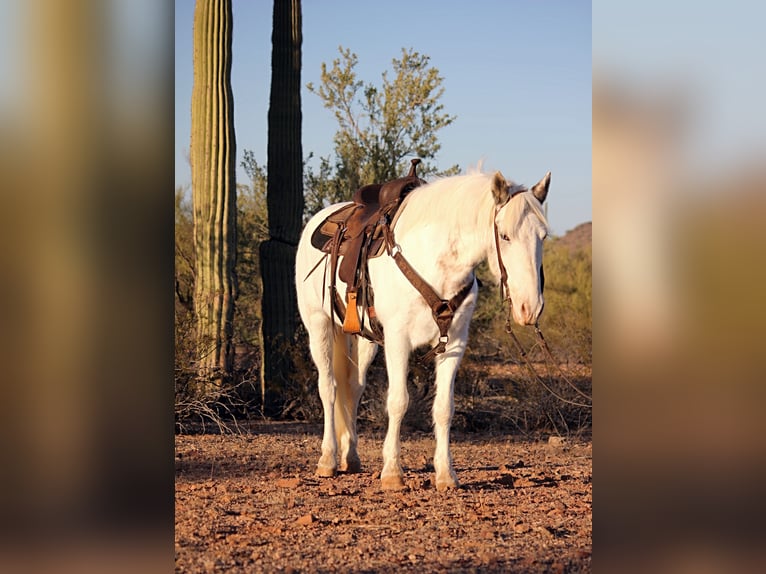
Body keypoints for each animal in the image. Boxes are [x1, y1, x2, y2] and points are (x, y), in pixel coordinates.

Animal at [296, 169, 552, 492]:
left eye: (543, 236)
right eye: (504, 235)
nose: (530, 307)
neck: (436, 263)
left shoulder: (454, 344)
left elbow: (444, 408)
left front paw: (445, 474)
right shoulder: (397, 340)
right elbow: (398, 402)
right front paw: (392, 472)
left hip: (364, 338)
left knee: (352, 388)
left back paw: (350, 457)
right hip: (319, 326)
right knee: (328, 388)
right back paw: (328, 459)